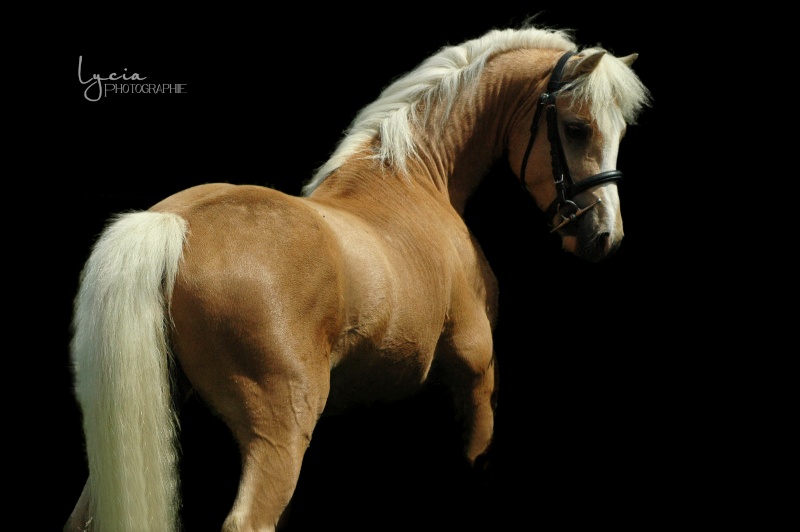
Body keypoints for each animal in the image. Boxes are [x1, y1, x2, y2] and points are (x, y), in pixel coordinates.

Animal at [64, 22, 648, 528]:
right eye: (576, 128)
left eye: (620, 131)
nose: (603, 235)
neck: (411, 179)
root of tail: (175, 223)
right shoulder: (477, 374)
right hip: (280, 431)